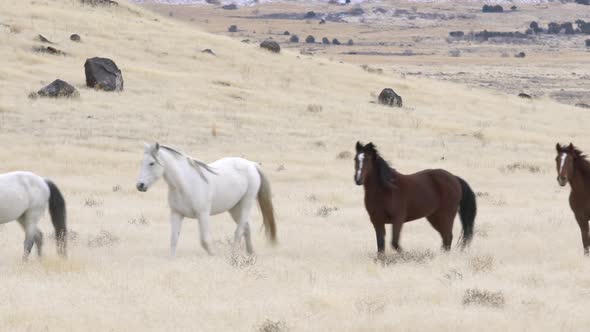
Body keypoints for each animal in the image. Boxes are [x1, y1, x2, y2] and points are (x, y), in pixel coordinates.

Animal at [136, 143, 278, 256]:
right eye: (142, 162)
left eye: (151, 163)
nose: (140, 185)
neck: (185, 184)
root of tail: (252, 165)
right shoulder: (176, 214)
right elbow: (174, 239)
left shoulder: (203, 214)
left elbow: (204, 240)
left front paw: (213, 255)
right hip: (234, 208)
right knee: (246, 228)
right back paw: (250, 254)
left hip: (246, 204)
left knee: (239, 231)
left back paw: (234, 255)